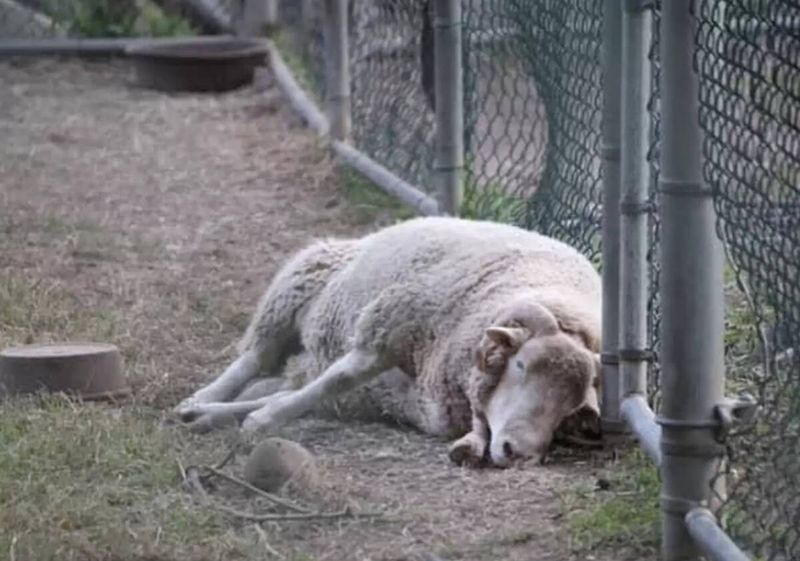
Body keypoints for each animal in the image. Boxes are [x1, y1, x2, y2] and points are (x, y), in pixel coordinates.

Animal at [175, 217, 600, 466]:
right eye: (521, 365)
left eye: (572, 405)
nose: (520, 454)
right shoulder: (382, 333)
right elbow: (334, 382)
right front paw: (259, 420)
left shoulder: (394, 397)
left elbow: (311, 394)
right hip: (293, 289)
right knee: (253, 359)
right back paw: (201, 397)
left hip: (309, 356)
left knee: (274, 379)